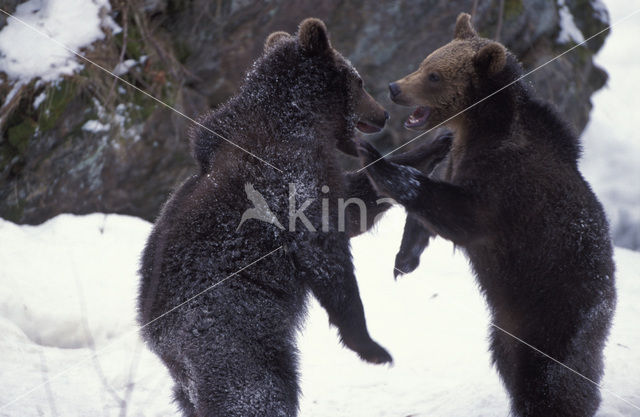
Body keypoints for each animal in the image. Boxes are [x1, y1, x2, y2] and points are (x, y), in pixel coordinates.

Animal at [360, 13, 616, 416]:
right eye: (425, 62)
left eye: (434, 75)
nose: (394, 88)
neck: (482, 128)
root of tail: (608, 301)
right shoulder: (460, 162)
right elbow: (432, 212)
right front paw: (404, 259)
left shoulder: (507, 188)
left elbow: (458, 215)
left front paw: (376, 160)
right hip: (508, 325)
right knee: (507, 359)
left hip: (557, 308)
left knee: (550, 378)